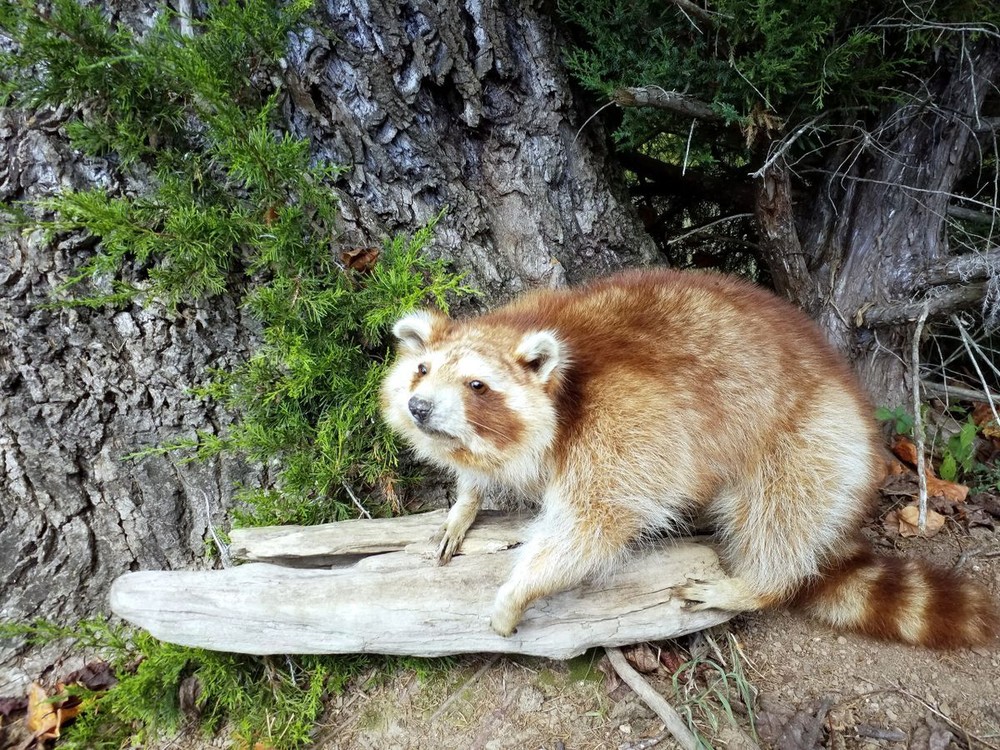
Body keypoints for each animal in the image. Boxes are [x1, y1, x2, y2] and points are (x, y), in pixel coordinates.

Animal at [380, 269, 998, 647]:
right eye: (422, 370)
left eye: (477, 386)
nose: (418, 407)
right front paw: (465, 499)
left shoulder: (626, 420)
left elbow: (594, 526)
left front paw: (520, 589)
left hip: (812, 437)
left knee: (782, 514)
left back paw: (759, 583)